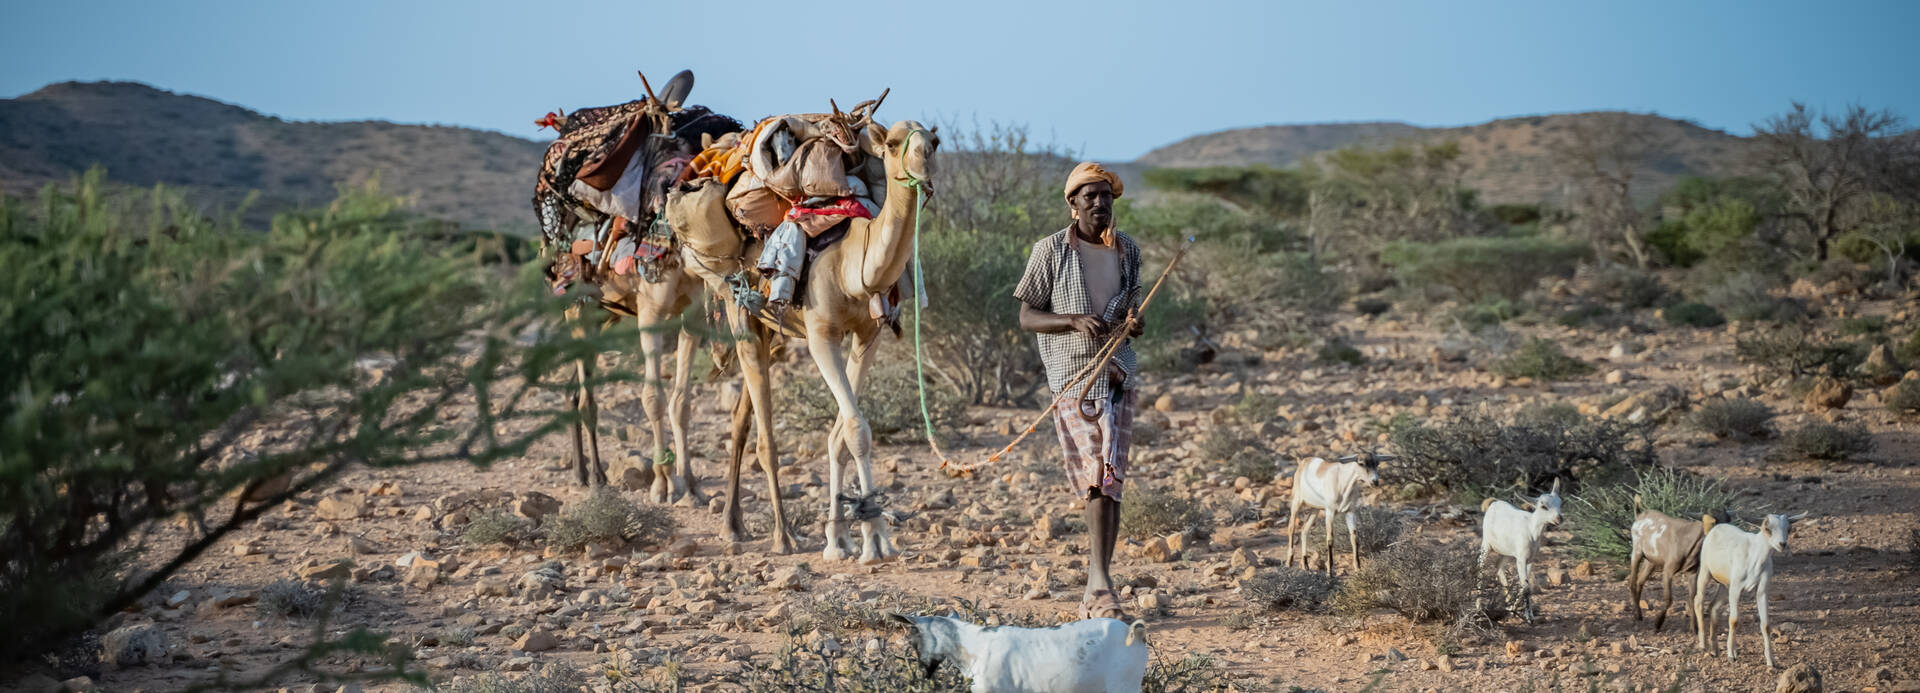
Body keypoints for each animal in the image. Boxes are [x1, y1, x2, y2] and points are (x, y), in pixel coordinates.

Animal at [678, 117, 939, 561]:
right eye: (892, 143)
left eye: (935, 141)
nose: (923, 160)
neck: (854, 265)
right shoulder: (821, 335)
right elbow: (855, 429)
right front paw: (875, 540)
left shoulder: (868, 335)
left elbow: (841, 435)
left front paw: (844, 537)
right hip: (739, 310)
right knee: (765, 437)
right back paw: (783, 536)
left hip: (768, 326)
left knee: (740, 420)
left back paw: (733, 525)